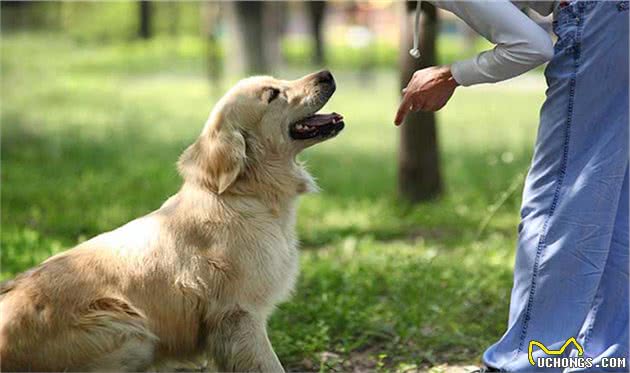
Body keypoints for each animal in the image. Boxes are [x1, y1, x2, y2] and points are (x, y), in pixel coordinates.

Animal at [0, 70, 346, 372]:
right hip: (131, 331)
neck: (245, 194)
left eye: (278, 81)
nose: (327, 74)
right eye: (273, 94)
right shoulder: (239, 315)